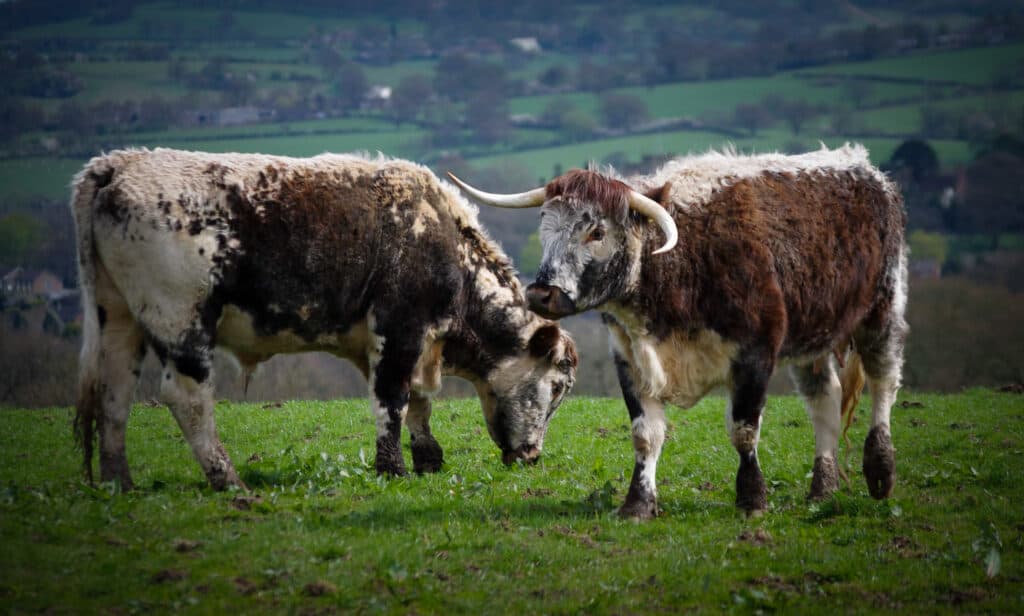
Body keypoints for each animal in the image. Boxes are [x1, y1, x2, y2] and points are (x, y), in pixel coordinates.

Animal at [72, 148, 577, 489]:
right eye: (556, 386)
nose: (532, 455)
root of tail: (115, 165)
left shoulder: (402, 343)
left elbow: (419, 402)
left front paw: (428, 460)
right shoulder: (398, 331)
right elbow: (393, 401)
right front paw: (393, 469)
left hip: (118, 316)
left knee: (114, 395)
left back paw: (120, 482)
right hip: (181, 319)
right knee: (186, 397)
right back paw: (228, 479)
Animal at [452, 145, 909, 517]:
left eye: (596, 231)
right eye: (544, 226)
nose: (542, 293)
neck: (683, 260)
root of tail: (868, 170)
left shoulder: (756, 354)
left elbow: (744, 431)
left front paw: (752, 499)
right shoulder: (631, 359)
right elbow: (645, 435)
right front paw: (637, 505)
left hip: (883, 312)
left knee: (883, 383)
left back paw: (881, 473)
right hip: (813, 338)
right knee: (824, 400)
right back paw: (822, 489)